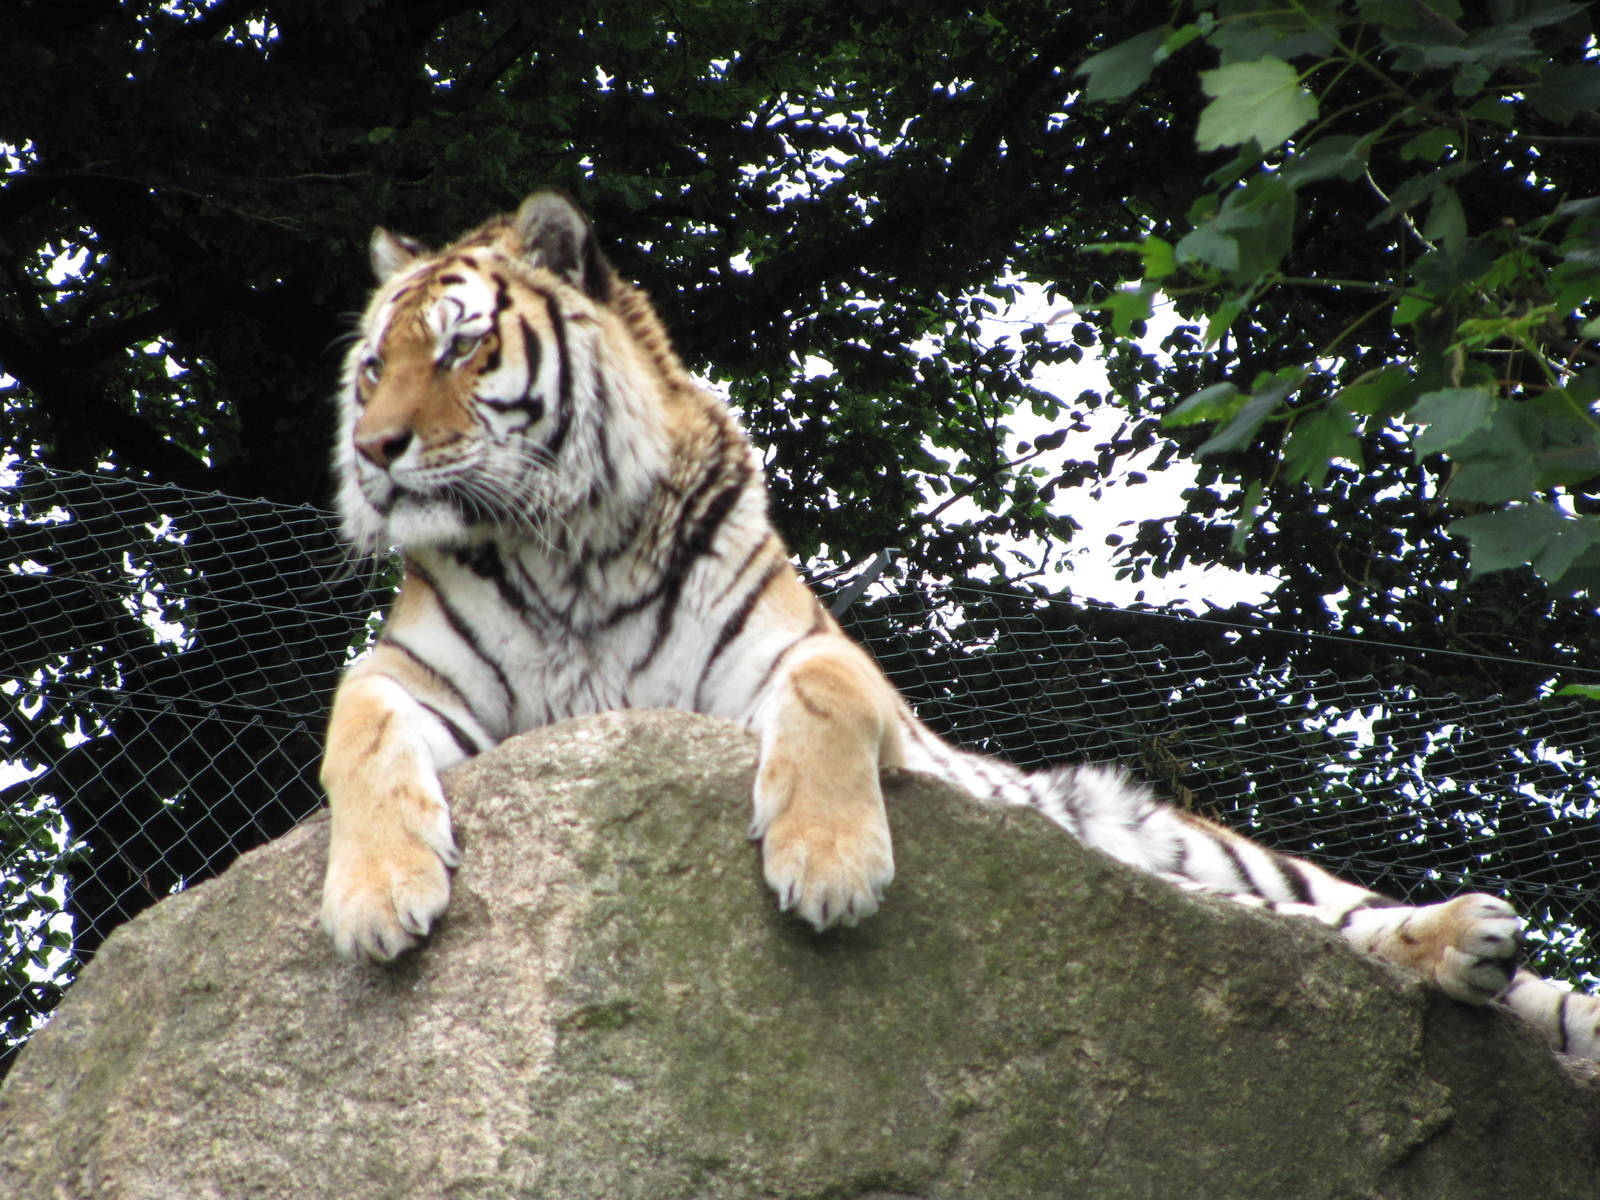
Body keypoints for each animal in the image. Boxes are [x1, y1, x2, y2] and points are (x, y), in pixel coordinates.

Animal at [321, 189, 1600, 1061]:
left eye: (463, 347)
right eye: (373, 366)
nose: (374, 452)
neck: (566, 546)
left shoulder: (804, 660)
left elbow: (827, 695)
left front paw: (827, 865)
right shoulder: (413, 679)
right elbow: (357, 736)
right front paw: (379, 899)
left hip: (1230, 857)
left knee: (1339, 922)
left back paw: (1470, 932)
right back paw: (1470, 955)